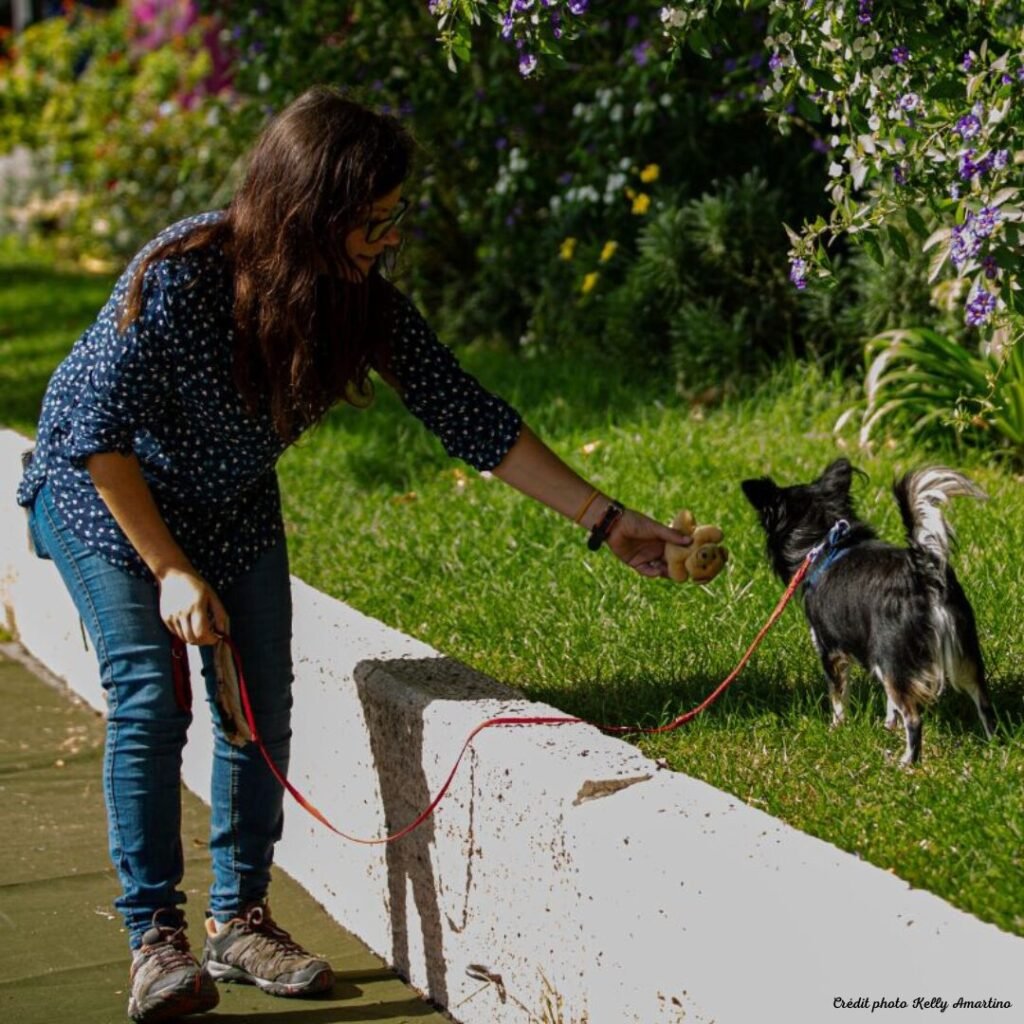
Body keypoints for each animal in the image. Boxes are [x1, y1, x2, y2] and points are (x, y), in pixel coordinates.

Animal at [741, 460, 995, 765]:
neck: (827, 543)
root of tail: (925, 569)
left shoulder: (831, 649)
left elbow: (838, 696)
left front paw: (836, 728)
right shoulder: (880, 658)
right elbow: (889, 703)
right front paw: (887, 726)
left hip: (895, 651)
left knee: (914, 718)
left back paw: (906, 763)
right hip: (961, 653)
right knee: (984, 703)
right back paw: (995, 747)